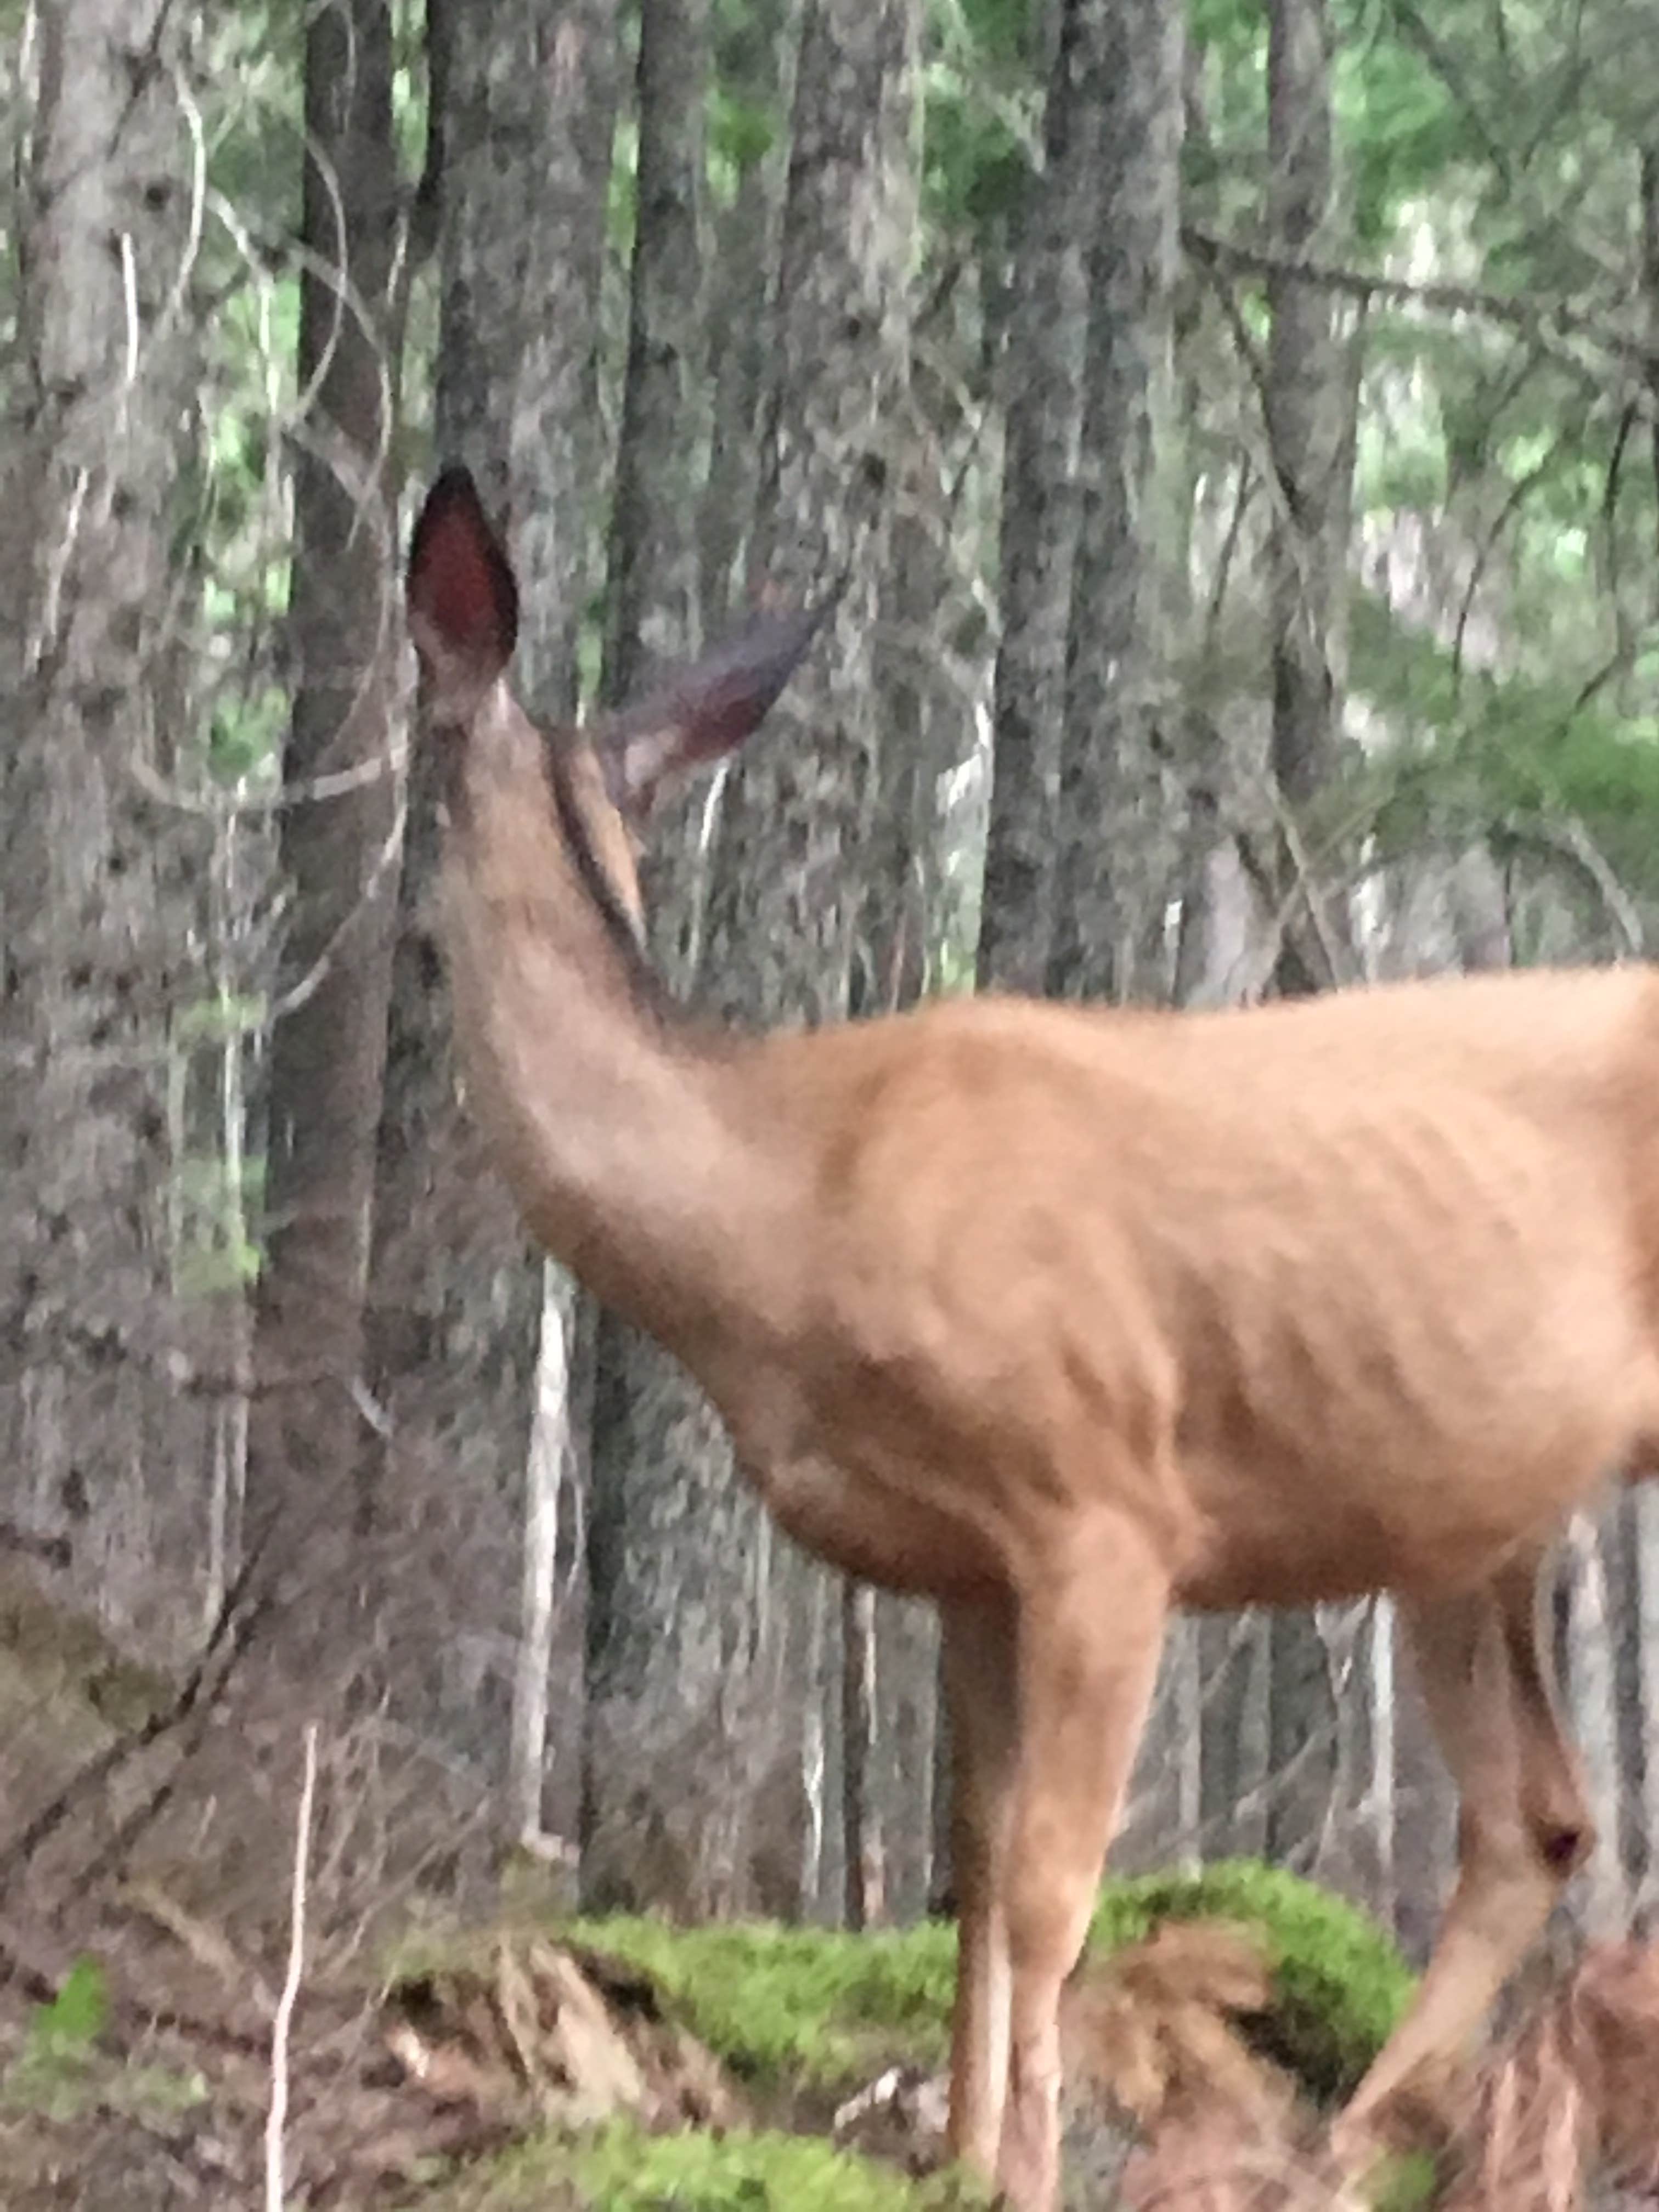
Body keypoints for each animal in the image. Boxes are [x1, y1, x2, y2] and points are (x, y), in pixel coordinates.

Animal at [409, 466, 1659, 2212]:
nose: (399, 940)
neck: (787, 1204)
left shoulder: (1103, 1507)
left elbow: (1057, 1886)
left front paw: (1030, 2171)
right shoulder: (963, 1563)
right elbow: (973, 1867)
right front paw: (953, 2152)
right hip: (1466, 1523)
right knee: (1533, 1819)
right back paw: (1348, 2146)